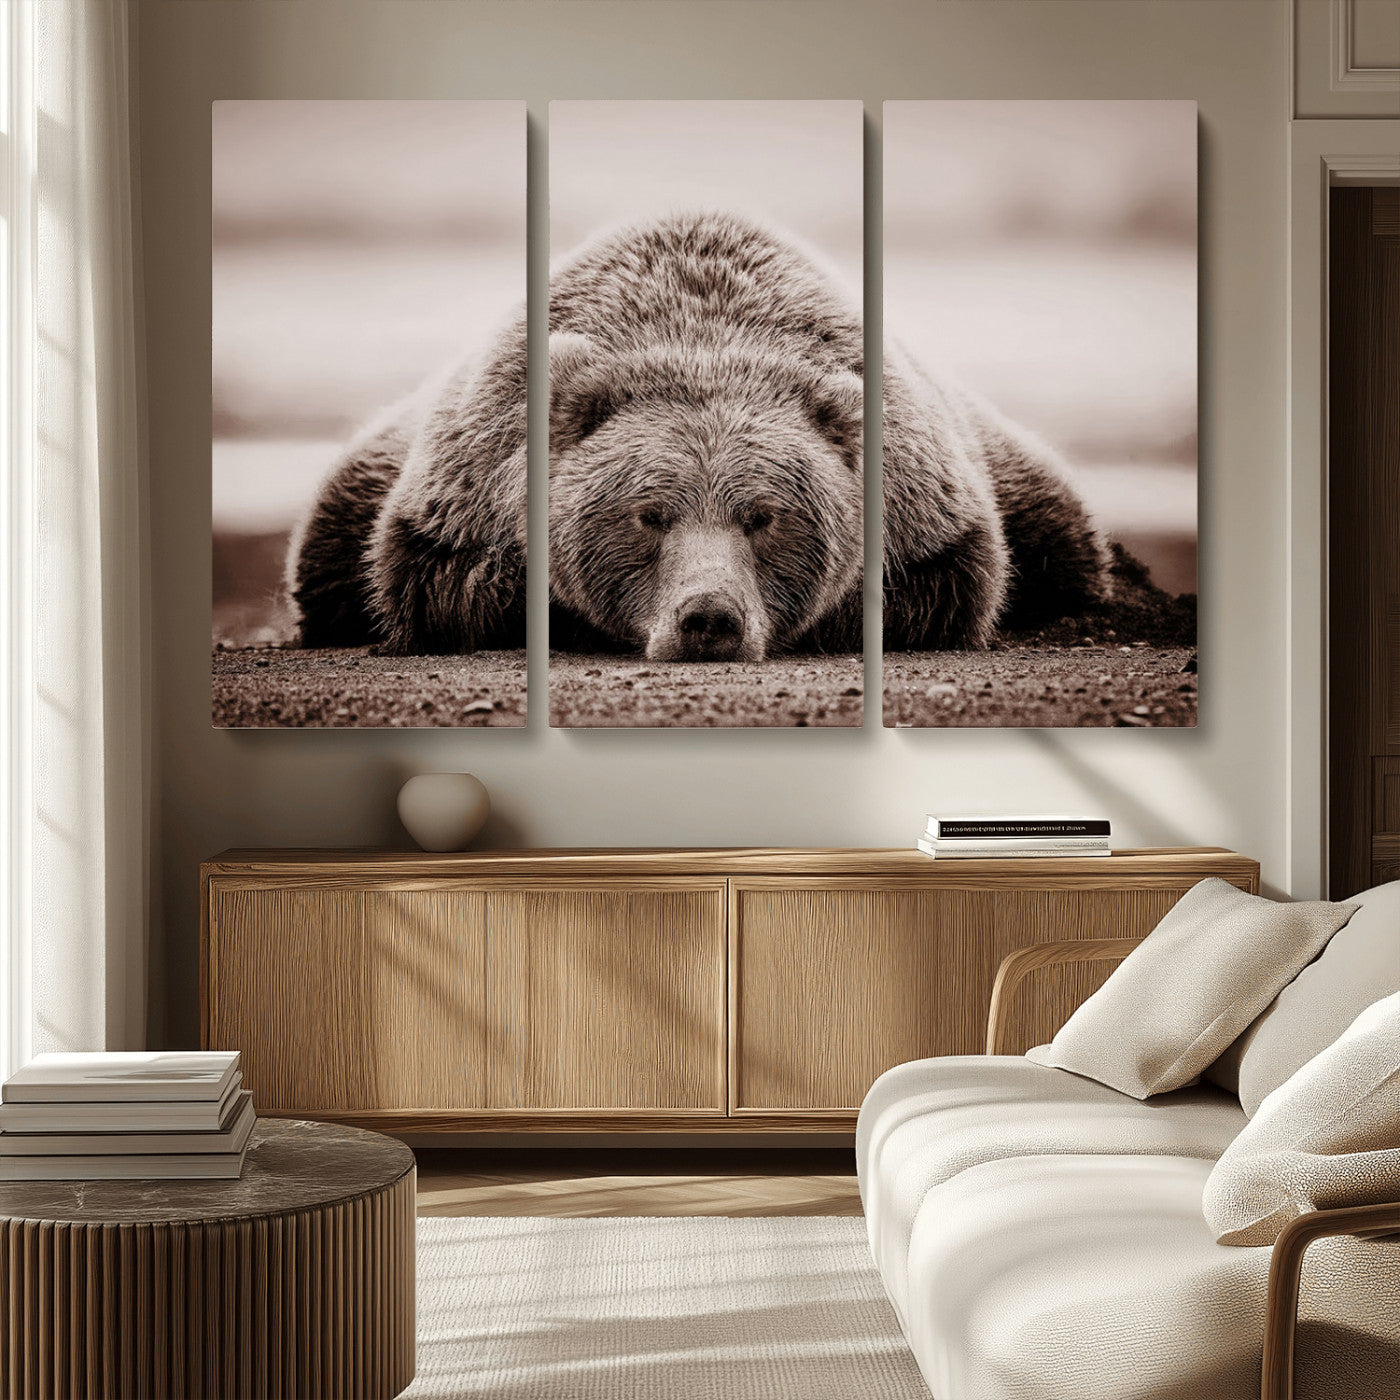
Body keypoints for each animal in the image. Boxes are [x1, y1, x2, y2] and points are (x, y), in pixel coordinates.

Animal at [287, 210, 1107, 658]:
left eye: (765, 516)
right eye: (649, 514)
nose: (709, 617)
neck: (701, 336)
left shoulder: (927, 502)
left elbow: (946, 584)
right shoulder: (466, 485)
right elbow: (441, 582)